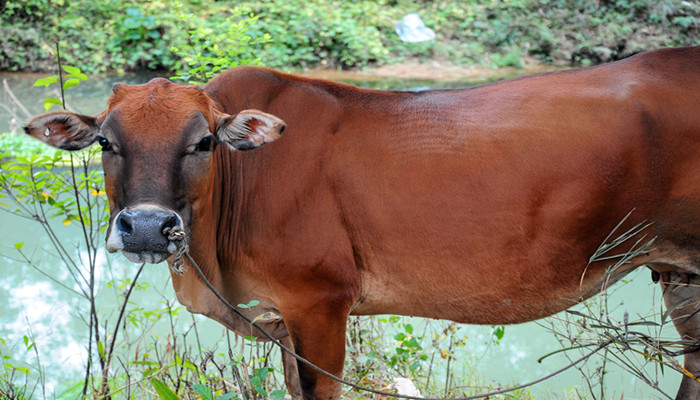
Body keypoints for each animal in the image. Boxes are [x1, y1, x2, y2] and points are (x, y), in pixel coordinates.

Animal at [24, 45, 700, 398]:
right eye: (106, 142)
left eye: (205, 142)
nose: (144, 227)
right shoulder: (283, 319)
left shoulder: (322, 300)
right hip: (677, 271)